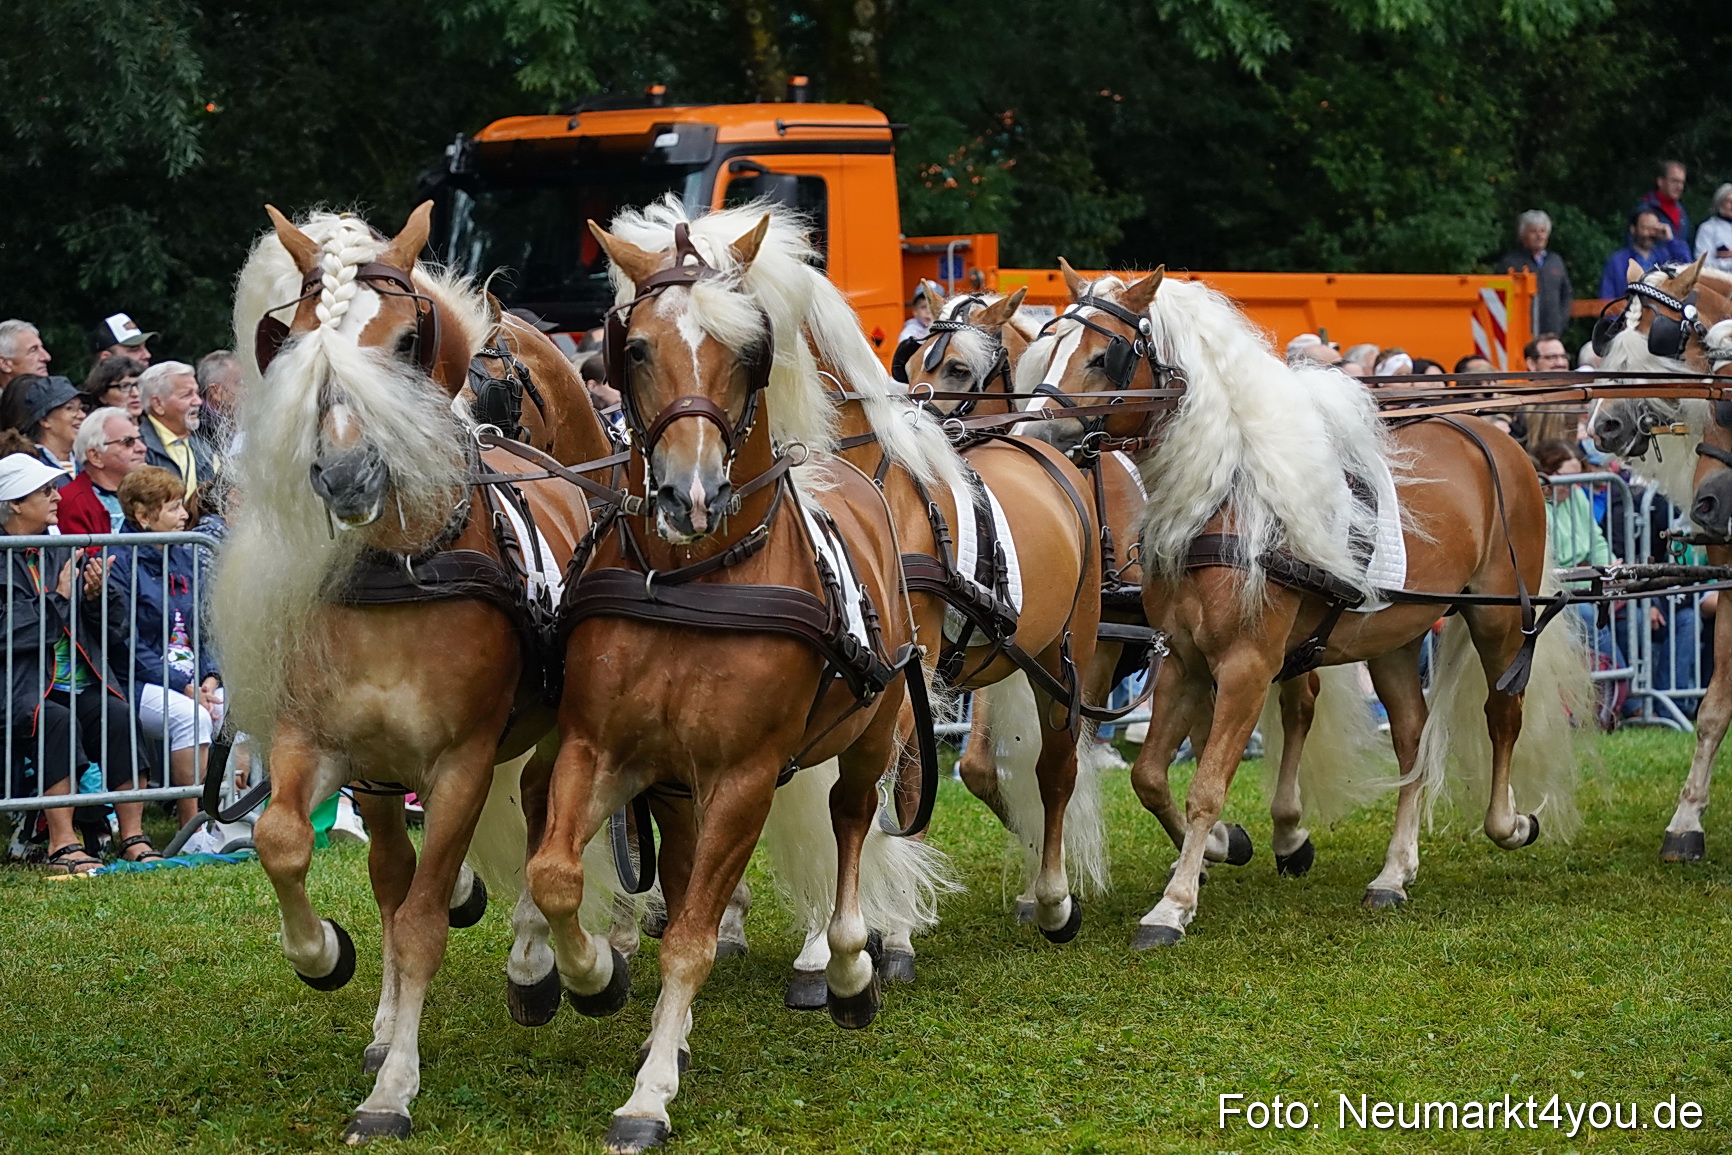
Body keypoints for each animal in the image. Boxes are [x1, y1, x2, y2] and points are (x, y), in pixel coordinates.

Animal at [216, 203, 610, 1141]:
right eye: (296, 341)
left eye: (404, 342)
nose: (346, 473)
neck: (403, 571)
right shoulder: (316, 743)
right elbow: (284, 842)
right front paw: (326, 954)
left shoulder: (462, 763)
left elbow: (428, 919)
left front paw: (393, 1092)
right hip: (380, 778)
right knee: (392, 874)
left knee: (535, 815)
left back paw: (545, 966)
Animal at [514, 204, 951, 1153]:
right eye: (636, 347)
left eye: (750, 351)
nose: (689, 494)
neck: (696, 580)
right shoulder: (601, 749)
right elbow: (558, 873)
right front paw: (594, 975)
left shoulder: (744, 778)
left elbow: (691, 939)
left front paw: (648, 1094)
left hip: (871, 733)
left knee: (852, 822)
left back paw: (848, 965)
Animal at [1016, 262, 1587, 946]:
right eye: (1046, 347)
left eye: (1106, 356)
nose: (1032, 435)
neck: (1225, 499)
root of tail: (1490, 434)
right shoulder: (1182, 659)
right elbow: (1150, 775)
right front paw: (1220, 851)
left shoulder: (1247, 666)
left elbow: (1206, 785)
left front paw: (1173, 906)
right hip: (1391, 638)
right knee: (1412, 740)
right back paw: (1394, 873)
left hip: (1498, 617)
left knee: (1502, 715)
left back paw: (1509, 823)